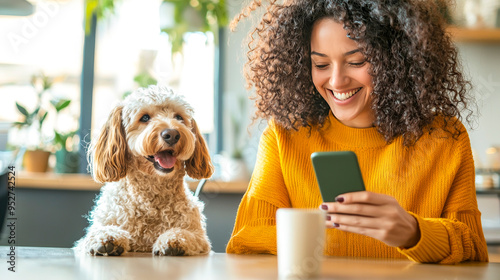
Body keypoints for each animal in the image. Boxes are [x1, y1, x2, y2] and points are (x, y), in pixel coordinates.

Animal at [74, 85, 213, 256]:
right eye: (145, 118)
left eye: (179, 117)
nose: (172, 134)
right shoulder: (87, 238)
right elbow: (98, 232)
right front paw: (107, 237)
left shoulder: (201, 239)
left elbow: (187, 234)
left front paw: (174, 239)